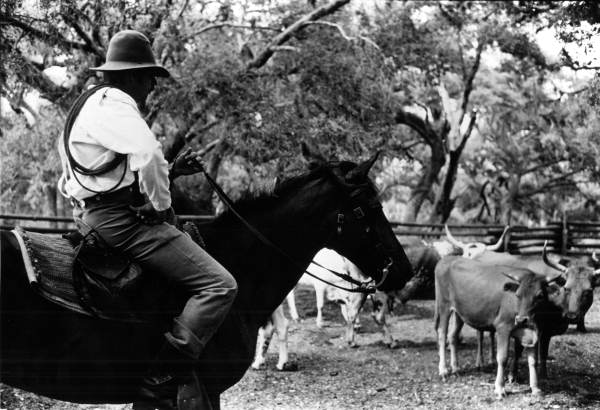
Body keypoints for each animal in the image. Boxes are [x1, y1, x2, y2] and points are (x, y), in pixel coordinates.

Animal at [434, 256, 564, 398]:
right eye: (518, 295)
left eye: (540, 296)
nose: (521, 320)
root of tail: (447, 259)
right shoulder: (503, 327)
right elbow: (502, 358)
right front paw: (500, 388)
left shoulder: (534, 332)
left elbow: (533, 361)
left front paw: (535, 388)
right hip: (444, 305)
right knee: (442, 334)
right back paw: (443, 370)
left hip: (459, 313)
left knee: (452, 336)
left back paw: (455, 368)